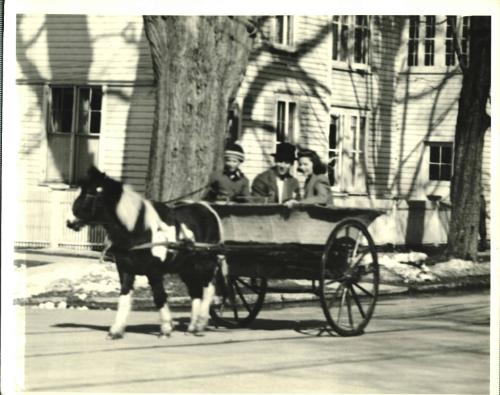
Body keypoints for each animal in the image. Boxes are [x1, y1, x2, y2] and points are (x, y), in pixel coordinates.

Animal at [67, 167, 221, 340]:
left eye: (91, 193)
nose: (69, 221)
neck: (138, 229)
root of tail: (208, 209)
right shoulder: (125, 270)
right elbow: (124, 297)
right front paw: (116, 330)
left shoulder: (154, 271)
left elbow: (159, 296)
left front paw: (166, 329)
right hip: (186, 269)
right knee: (195, 292)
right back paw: (192, 327)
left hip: (205, 263)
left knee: (208, 289)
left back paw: (200, 324)